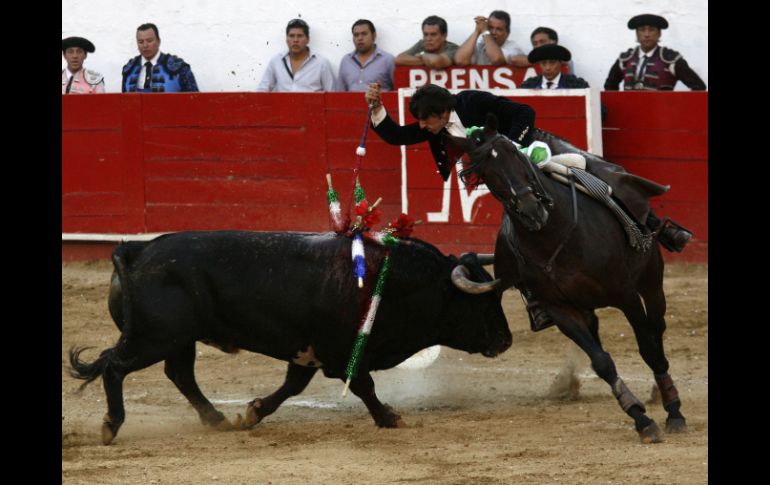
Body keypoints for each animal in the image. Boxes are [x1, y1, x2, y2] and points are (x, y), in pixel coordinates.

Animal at [69, 230, 512, 445]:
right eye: (482, 303)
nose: (506, 340)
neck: (395, 282)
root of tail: (138, 251)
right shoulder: (342, 353)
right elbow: (364, 386)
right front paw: (390, 418)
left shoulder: (308, 352)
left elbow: (291, 387)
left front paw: (251, 413)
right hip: (154, 336)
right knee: (115, 366)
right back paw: (111, 426)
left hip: (179, 339)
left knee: (179, 374)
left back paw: (216, 420)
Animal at [447, 118, 686, 443]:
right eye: (485, 172)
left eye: (516, 154)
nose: (532, 210)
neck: (556, 235)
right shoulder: (560, 309)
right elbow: (601, 362)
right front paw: (640, 418)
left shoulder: (625, 294)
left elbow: (648, 346)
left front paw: (673, 410)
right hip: (587, 307)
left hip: (651, 279)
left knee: (657, 327)